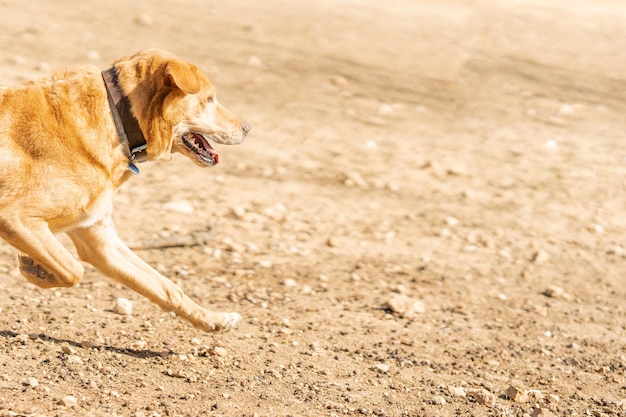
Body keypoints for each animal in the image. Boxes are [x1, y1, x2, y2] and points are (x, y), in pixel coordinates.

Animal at [0, 48, 249, 332]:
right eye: (209, 99)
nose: (247, 128)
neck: (118, 117)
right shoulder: (14, 217)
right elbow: (74, 270)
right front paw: (37, 270)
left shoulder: (99, 238)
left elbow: (165, 287)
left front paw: (212, 318)